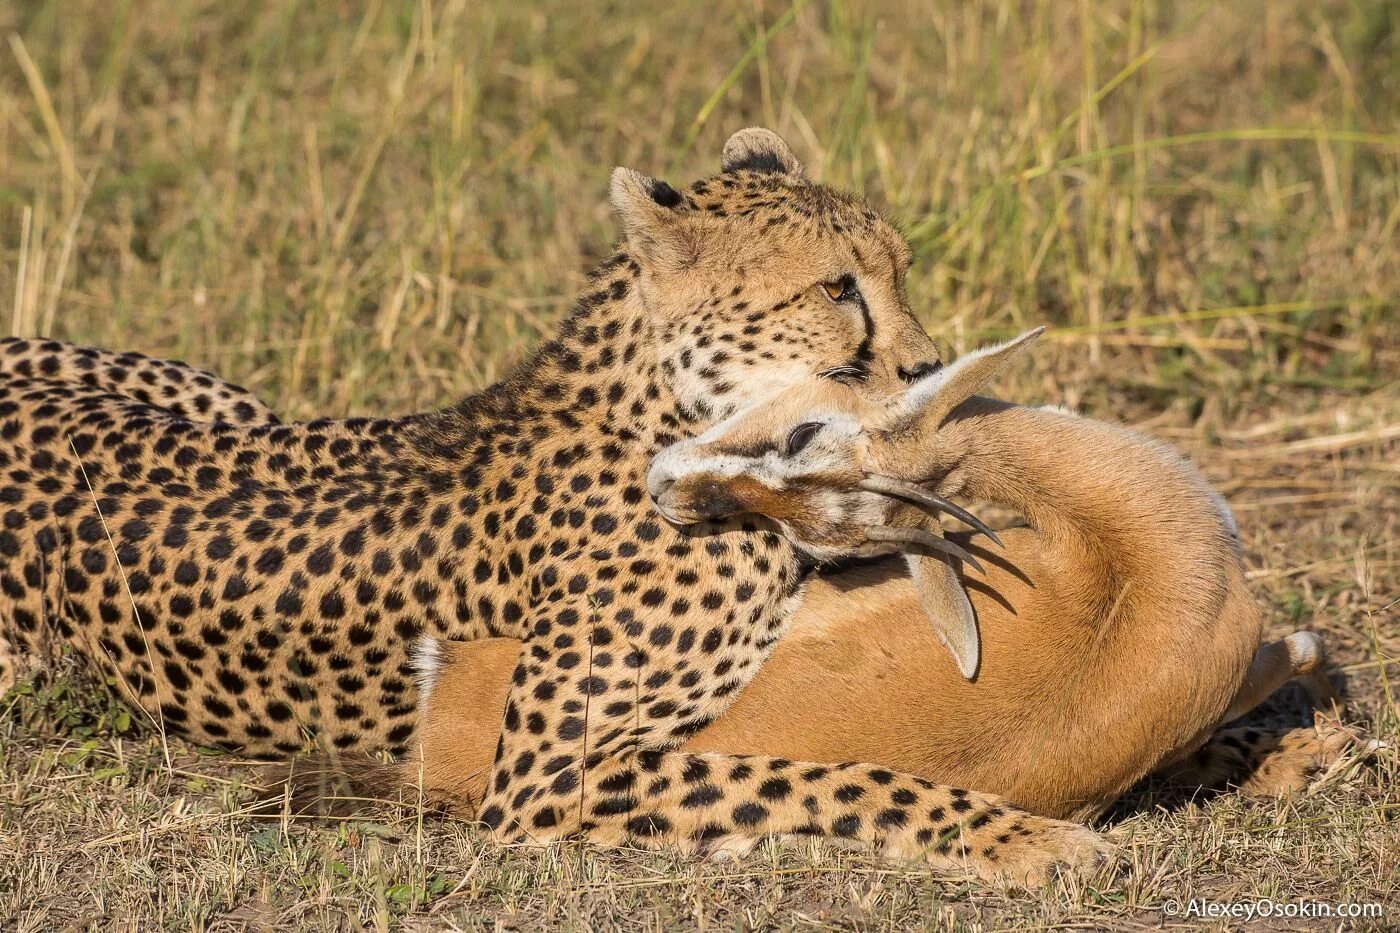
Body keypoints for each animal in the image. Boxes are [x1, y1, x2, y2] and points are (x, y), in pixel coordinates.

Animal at [5, 130, 1108, 879]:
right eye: (838, 287)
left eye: (897, 270)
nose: (925, 364)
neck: (675, 414)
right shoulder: (539, 777)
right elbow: (821, 776)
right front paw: (1020, 833)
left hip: (231, 399)